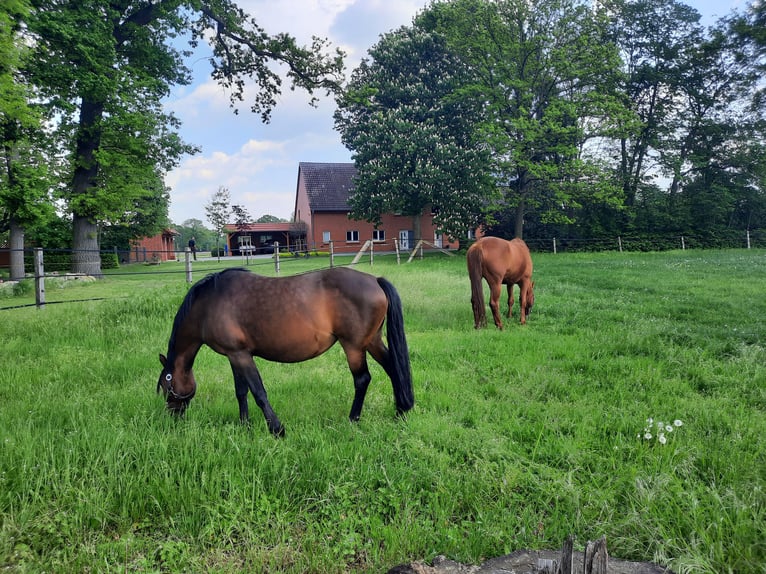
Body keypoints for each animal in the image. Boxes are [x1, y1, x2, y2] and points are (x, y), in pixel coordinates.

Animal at [157, 268, 416, 438]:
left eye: (166, 385)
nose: (172, 416)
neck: (210, 303)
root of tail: (375, 280)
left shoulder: (241, 355)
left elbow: (258, 392)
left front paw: (277, 429)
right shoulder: (234, 355)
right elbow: (241, 392)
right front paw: (244, 426)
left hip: (353, 346)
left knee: (362, 379)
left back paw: (353, 420)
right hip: (372, 341)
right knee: (394, 369)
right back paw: (400, 412)